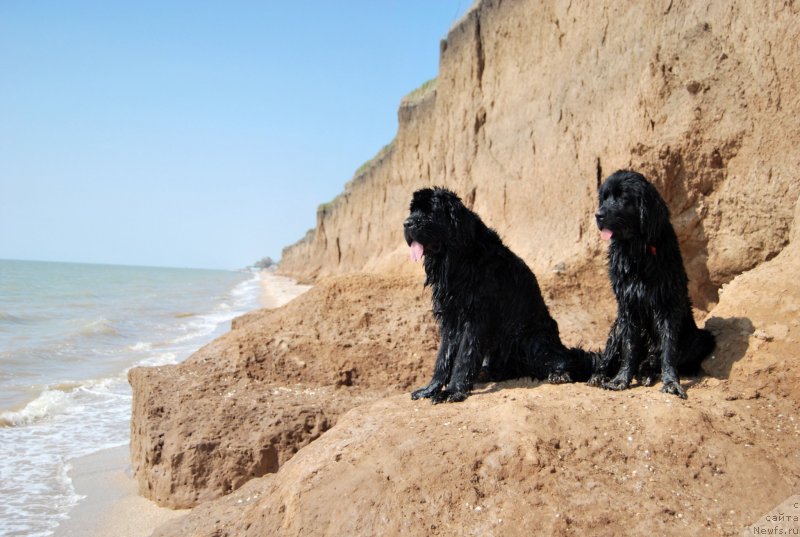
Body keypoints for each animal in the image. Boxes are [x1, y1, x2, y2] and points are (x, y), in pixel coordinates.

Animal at [406, 186, 592, 400]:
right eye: (413, 211)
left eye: (430, 212)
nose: (407, 223)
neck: (459, 258)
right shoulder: (450, 316)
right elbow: (443, 356)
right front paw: (431, 388)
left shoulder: (476, 317)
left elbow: (464, 356)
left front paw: (453, 391)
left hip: (532, 338)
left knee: (565, 360)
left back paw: (559, 373)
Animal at [592, 170, 716, 396]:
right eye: (604, 198)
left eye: (622, 198)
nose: (599, 215)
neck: (638, 252)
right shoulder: (627, 306)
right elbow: (629, 348)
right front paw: (620, 379)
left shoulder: (668, 305)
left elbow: (668, 349)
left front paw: (671, 382)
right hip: (616, 326)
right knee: (609, 355)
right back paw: (601, 375)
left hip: (702, 338)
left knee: (655, 358)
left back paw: (646, 373)